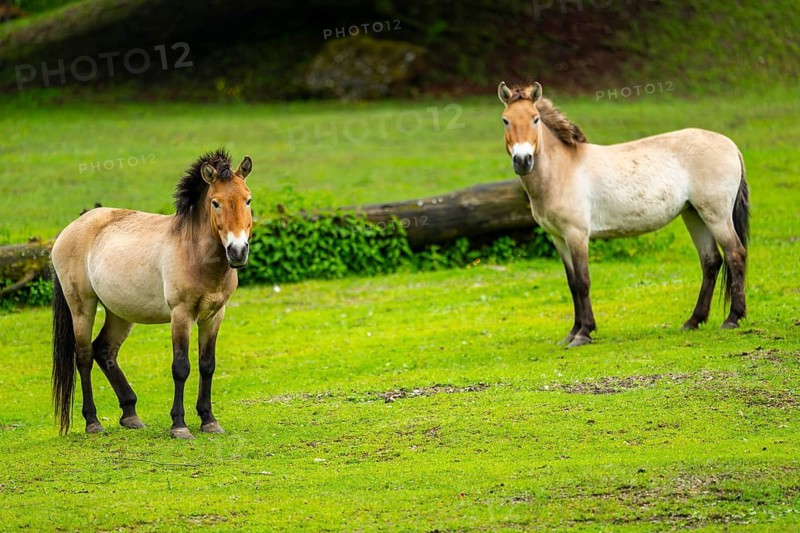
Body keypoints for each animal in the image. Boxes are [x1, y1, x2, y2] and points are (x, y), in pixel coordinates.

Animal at [51, 149, 253, 438]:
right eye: (215, 203)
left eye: (248, 200)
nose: (237, 251)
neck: (193, 251)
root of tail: (71, 227)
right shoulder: (181, 315)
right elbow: (181, 368)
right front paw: (179, 425)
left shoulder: (214, 315)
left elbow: (207, 365)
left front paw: (209, 420)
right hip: (82, 308)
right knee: (84, 356)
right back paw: (93, 422)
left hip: (119, 313)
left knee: (104, 351)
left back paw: (130, 414)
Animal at [497, 82, 749, 347]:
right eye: (505, 120)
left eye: (535, 119)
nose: (523, 160)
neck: (562, 169)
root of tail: (731, 146)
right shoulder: (559, 238)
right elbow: (572, 283)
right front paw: (572, 333)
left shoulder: (577, 235)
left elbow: (583, 282)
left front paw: (584, 333)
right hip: (694, 214)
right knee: (711, 261)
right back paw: (693, 321)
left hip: (716, 215)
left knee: (735, 254)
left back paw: (732, 319)